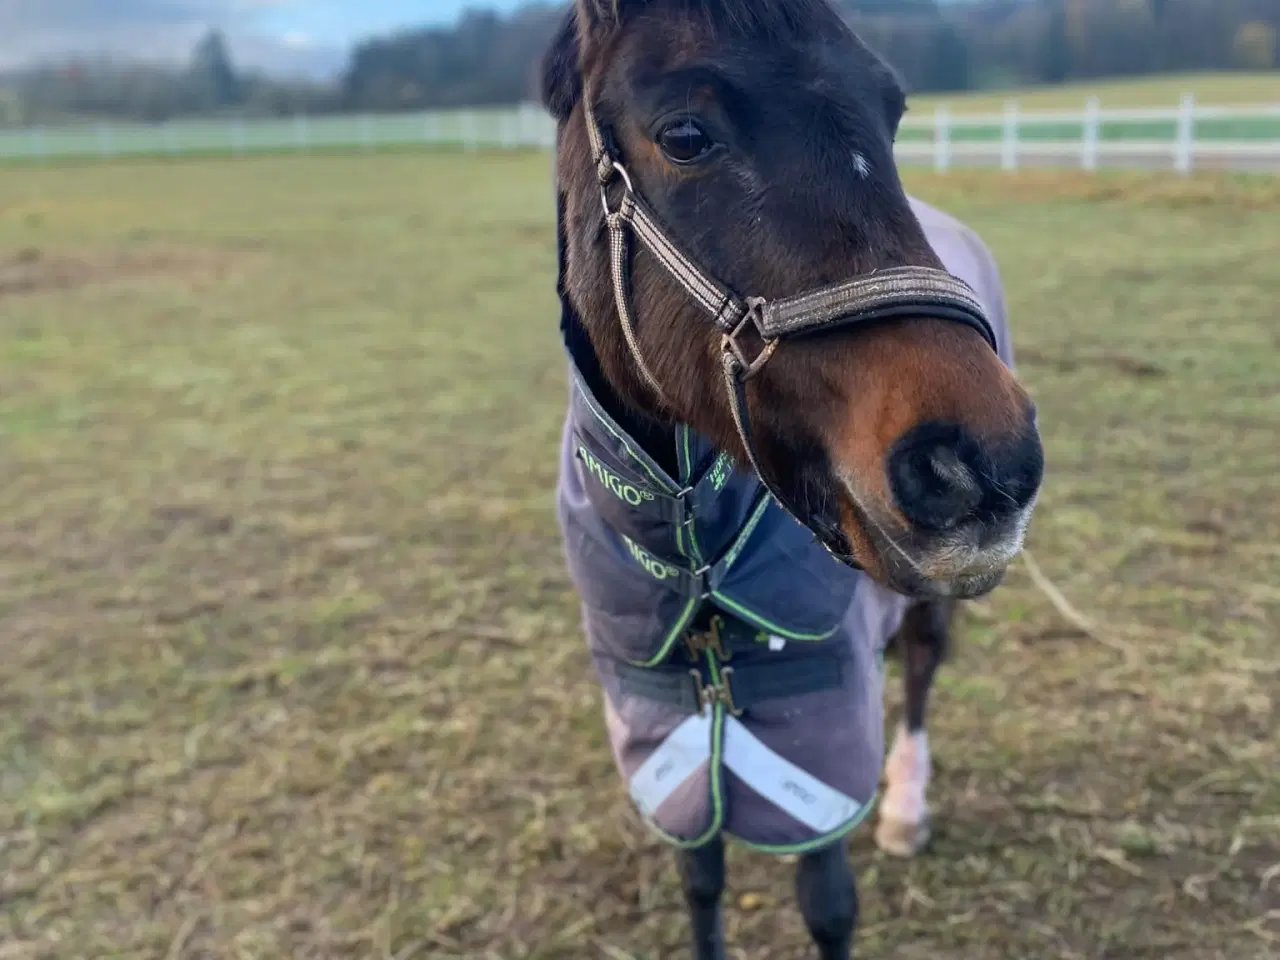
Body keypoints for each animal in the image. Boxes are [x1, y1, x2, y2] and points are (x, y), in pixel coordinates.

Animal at [538, 1, 1044, 956]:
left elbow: (828, 907)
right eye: (685, 135)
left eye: (891, 113)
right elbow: (700, 880)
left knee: (921, 670)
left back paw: (906, 806)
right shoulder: (670, 739)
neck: (695, 551)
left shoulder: (815, 758)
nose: (987, 461)